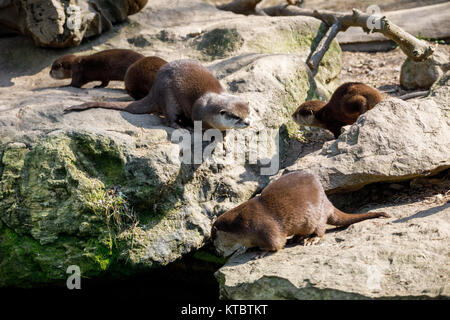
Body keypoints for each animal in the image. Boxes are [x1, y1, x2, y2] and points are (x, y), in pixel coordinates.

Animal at [64, 58, 251, 130]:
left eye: (249, 113)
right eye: (236, 117)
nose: (248, 123)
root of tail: (154, 89)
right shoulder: (198, 112)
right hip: (168, 96)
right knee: (170, 117)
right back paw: (181, 126)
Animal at [211, 171, 390, 258]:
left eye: (213, 238)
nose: (216, 251)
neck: (242, 225)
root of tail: (327, 202)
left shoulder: (264, 228)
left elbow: (276, 244)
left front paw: (261, 252)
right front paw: (250, 249)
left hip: (317, 216)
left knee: (320, 230)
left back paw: (310, 239)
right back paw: (297, 238)